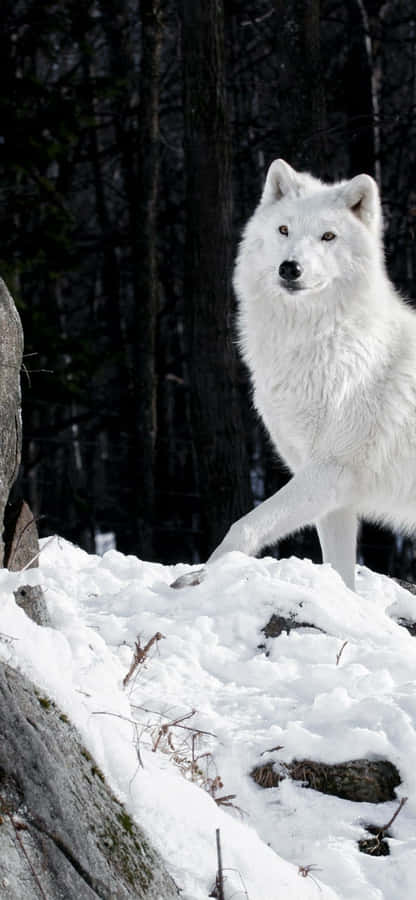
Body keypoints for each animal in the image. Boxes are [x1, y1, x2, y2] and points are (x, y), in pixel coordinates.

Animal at [207, 159, 416, 591]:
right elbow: (340, 574)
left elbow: (243, 527)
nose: (290, 268)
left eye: (328, 236)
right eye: (284, 230)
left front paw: (201, 578)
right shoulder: (331, 496)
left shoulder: (328, 472)